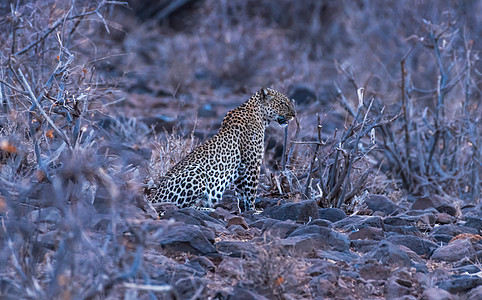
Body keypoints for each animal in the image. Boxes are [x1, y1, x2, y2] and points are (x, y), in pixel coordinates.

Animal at [149, 88, 296, 212]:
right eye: (283, 103)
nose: (294, 115)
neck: (260, 115)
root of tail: (154, 196)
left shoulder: (240, 169)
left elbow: (242, 193)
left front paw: (244, 211)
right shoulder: (252, 164)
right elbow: (251, 191)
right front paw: (254, 210)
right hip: (198, 171)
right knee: (182, 206)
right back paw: (207, 209)